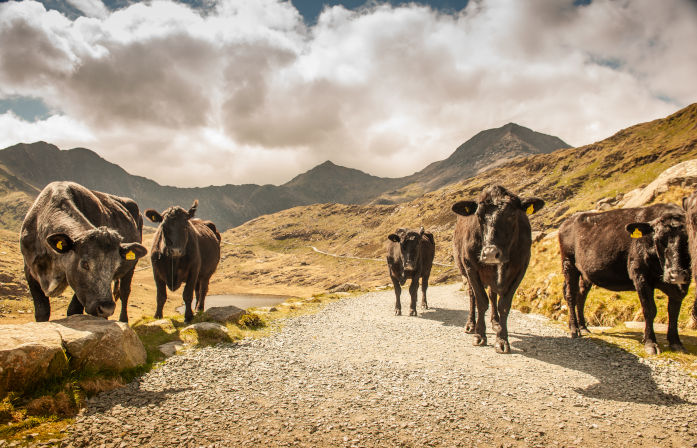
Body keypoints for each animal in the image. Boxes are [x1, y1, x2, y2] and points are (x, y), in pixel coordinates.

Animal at [20, 182, 147, 322]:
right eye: (84, 264)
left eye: (115, 266)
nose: (106, 308)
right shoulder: (29, 269)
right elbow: (42, 312)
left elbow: (73, 311)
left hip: (131, 268)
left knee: (125, 292)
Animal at [452, 186, 544, 354]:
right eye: (478, 215)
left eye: (512, 215)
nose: (489, 253)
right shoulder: (471, 267)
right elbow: (481, 301)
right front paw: (480, 335)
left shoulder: (520, 269)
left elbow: (504, 305)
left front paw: (502, 339)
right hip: (465, 271)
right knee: (472, 296)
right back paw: (470, 324)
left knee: (493, 294)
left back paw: (495, 322)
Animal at [556, 203, 692, 354]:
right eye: (658, 240)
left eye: (688, 240)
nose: (676, 275)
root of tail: (567, 222)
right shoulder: (640, 274)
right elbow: (649, 309)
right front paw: (651, 343)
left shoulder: (681, 286)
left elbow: (674, 311)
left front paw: (676, 343)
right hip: (568, 263)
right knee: (571, 295)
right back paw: (574, 329)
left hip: (584, 273)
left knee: (581, 296)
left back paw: (582, 327)